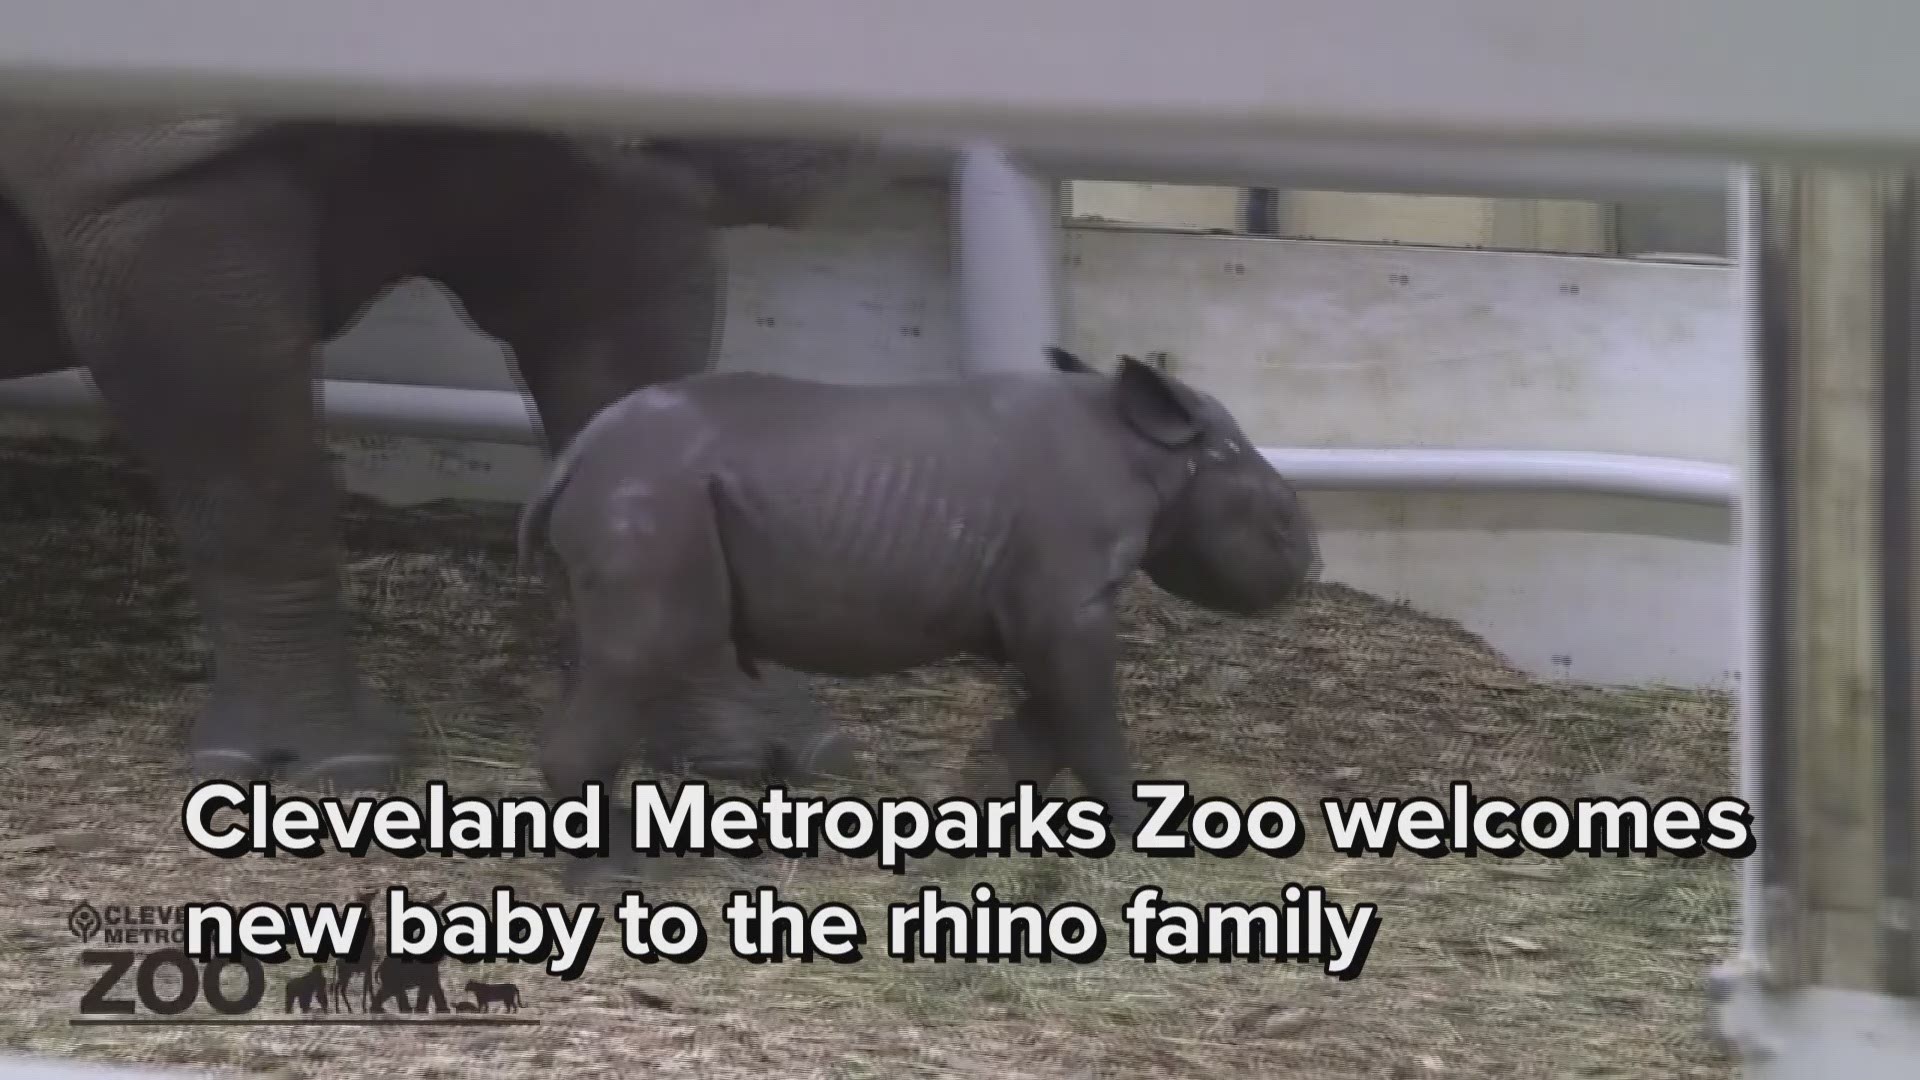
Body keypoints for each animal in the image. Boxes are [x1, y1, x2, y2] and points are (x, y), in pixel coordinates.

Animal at [514, 343, 1320, 876]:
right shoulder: (1069, 600)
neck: (1150, 453)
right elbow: (1089, 719)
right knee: (644, 654)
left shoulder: (1044, 612)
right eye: (1279, 522)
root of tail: (575, 457)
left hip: (645, 500)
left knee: (612, 658)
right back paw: (618, 877)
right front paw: (1141, 831)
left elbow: (1049, 721)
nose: (1308, 563)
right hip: (652, 497)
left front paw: (983, 809)